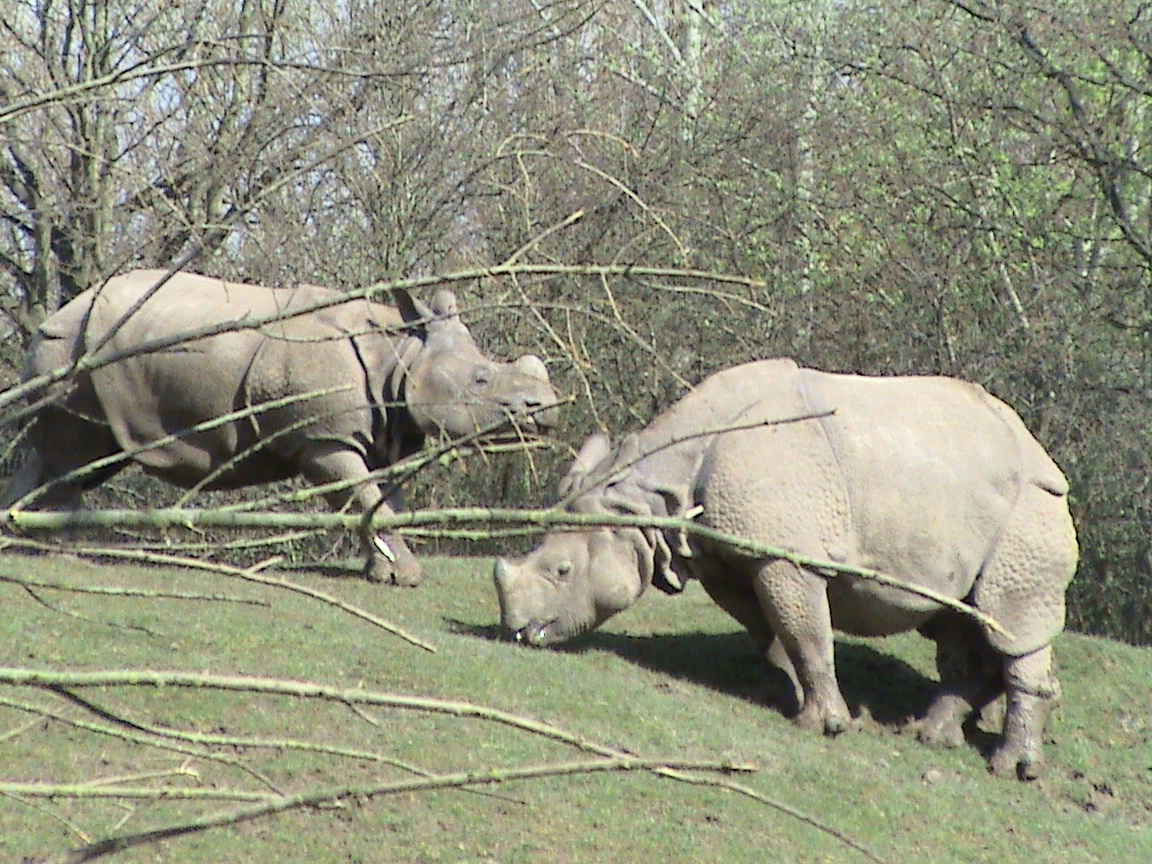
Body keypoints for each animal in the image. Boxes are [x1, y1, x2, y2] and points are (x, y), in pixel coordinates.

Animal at [3, 269, 560, 585]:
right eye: (481, 380)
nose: (547, 408)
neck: (400, 350)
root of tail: (58, 312)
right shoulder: (323, 439)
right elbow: (361, 496)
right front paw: (407, 577)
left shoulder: (383, 431)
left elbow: (380, 502)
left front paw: (386, 573)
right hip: (72, 352)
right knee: (73, 453)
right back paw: (66, 546)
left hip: (91, 354)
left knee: (77, 456)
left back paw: (23, 534)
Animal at [494, 359, 1078, 778]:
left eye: (563, 572)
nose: (517, 631)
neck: (652, 500)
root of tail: (1037, 447)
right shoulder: (727, 552)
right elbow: (775, 628)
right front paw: (786, 689)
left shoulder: (784, 553)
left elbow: (807, 632)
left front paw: (827, 726)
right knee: (958, 620)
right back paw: (928, 737)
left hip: (1032, 507)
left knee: (1011, 620)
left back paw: (1012, 769)